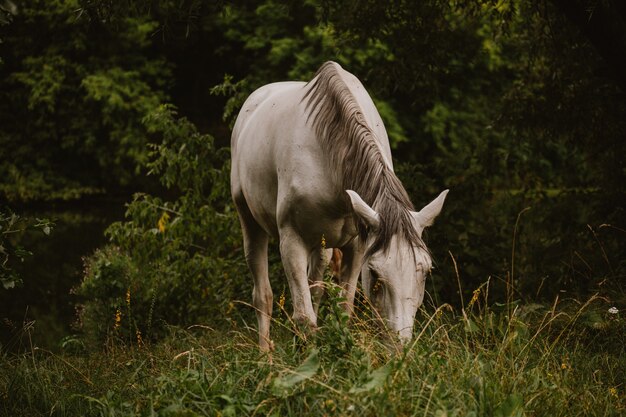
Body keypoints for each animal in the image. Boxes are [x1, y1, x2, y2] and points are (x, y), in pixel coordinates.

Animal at [232, 60, 446, 350]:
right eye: (375, 274)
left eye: (425, 271)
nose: (399, 350)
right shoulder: (292, 241)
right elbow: (304, 317)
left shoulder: (357, 248)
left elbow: (343, 309)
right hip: (250, 221)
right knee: (263, 295)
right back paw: (265, 357)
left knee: (316, 286)